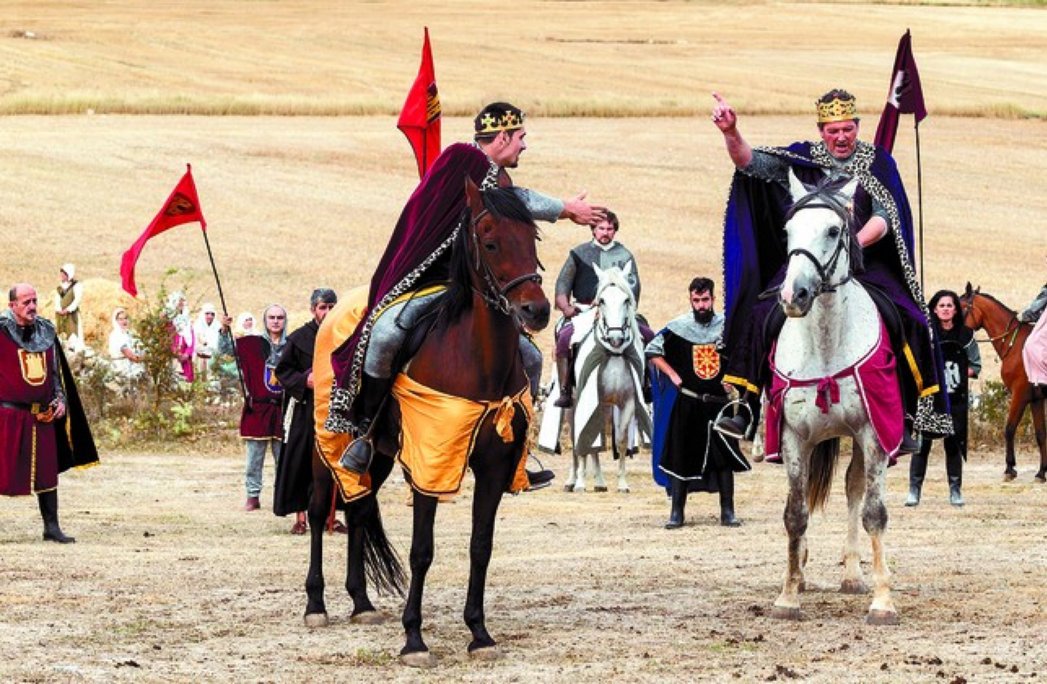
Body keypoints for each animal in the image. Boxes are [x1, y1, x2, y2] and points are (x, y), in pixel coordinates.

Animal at [301, 180, 548, 666]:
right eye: (490, 242)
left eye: (532, 240)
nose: (537, 311)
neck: (476, 359)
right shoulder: (431, 459)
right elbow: (422, 551)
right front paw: (413, 639)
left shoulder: (493, 469)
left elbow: (480, 547)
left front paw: (479, 633)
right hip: (328, 443)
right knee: (321, 512)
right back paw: (316, 604)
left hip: (376, 454)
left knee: (358, 510)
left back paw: (362, 603)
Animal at [565, 261, 644, 490]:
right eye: (602, 301)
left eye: (626, 300)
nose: (616, 337)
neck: (614, 353)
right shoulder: (586, 399)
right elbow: (583, 439)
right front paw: (580, 482)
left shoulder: (627, 402)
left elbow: (621, 441)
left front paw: (623, 483)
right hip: (572, 404)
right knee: (576, 438)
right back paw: (573, 480)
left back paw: (599, 481)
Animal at [770, 170, 900, 624]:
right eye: (788, 230)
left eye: (832, 230)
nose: (793, 296)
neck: (826, 345)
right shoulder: (792, 437)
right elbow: (794, 514)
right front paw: (788, 597)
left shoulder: (874, 434)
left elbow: (874, 513)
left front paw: (882, 601)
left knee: (854, 490)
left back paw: (853, 574)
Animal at [959, 280, 1042, 479]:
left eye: (962, 307)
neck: (1015, 344)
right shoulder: (1036, 399)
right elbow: (1041, 434)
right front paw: (1041, 472)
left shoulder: (1020, 395)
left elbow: (1009, 428)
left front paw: (1010, 468)